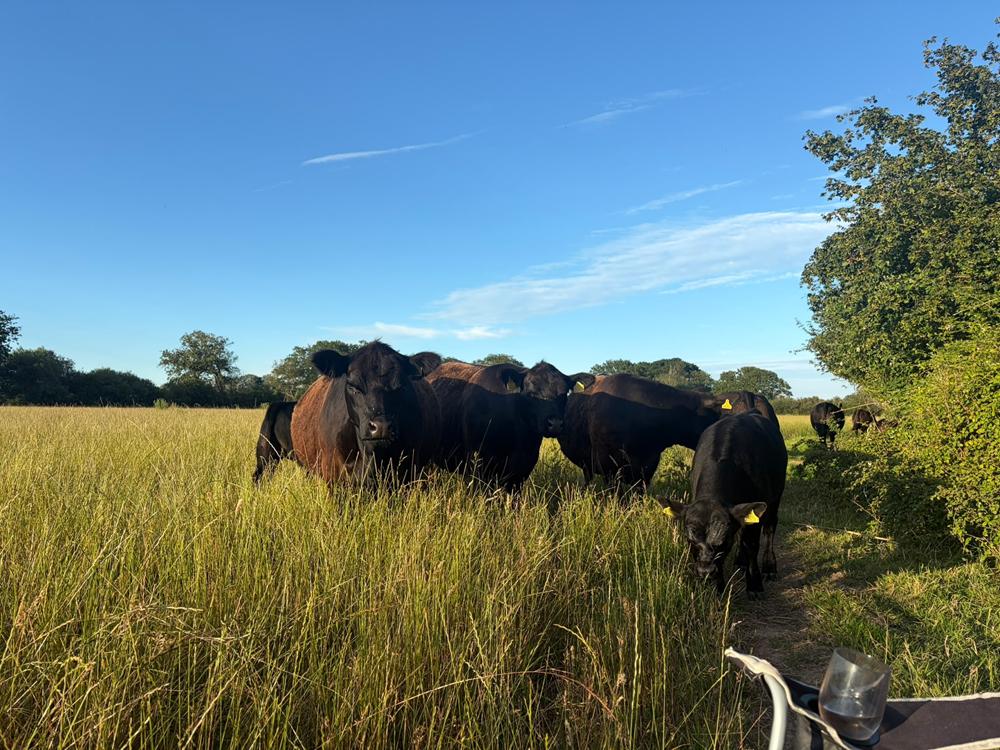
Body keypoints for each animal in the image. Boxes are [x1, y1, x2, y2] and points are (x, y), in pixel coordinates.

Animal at [662, 412, 787, 596]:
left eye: (724, 542)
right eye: (690, 540)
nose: (705, 572)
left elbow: (751, 546)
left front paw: (754, 585)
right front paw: (718, 587)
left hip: (775, 497)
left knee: (770, 527)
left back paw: (769, 567)